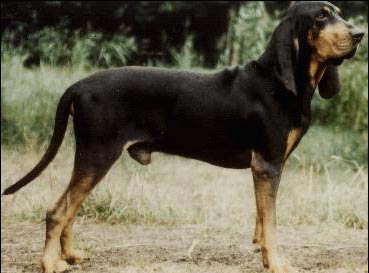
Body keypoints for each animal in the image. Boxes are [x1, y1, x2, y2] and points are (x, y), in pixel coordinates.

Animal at [2, 1, 362, 270]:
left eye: (338, 12)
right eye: (321, 16)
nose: (359, 34)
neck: (280, 82)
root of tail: (78, 86)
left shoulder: (263, 169)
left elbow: (262, 218)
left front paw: (262, 252)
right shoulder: (267, 165)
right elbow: (271, 223)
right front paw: (276, 263)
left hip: (93, 158)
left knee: (70, 209)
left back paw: (71, 255)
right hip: (97, 154)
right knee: (58, 211)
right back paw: (51, 263)